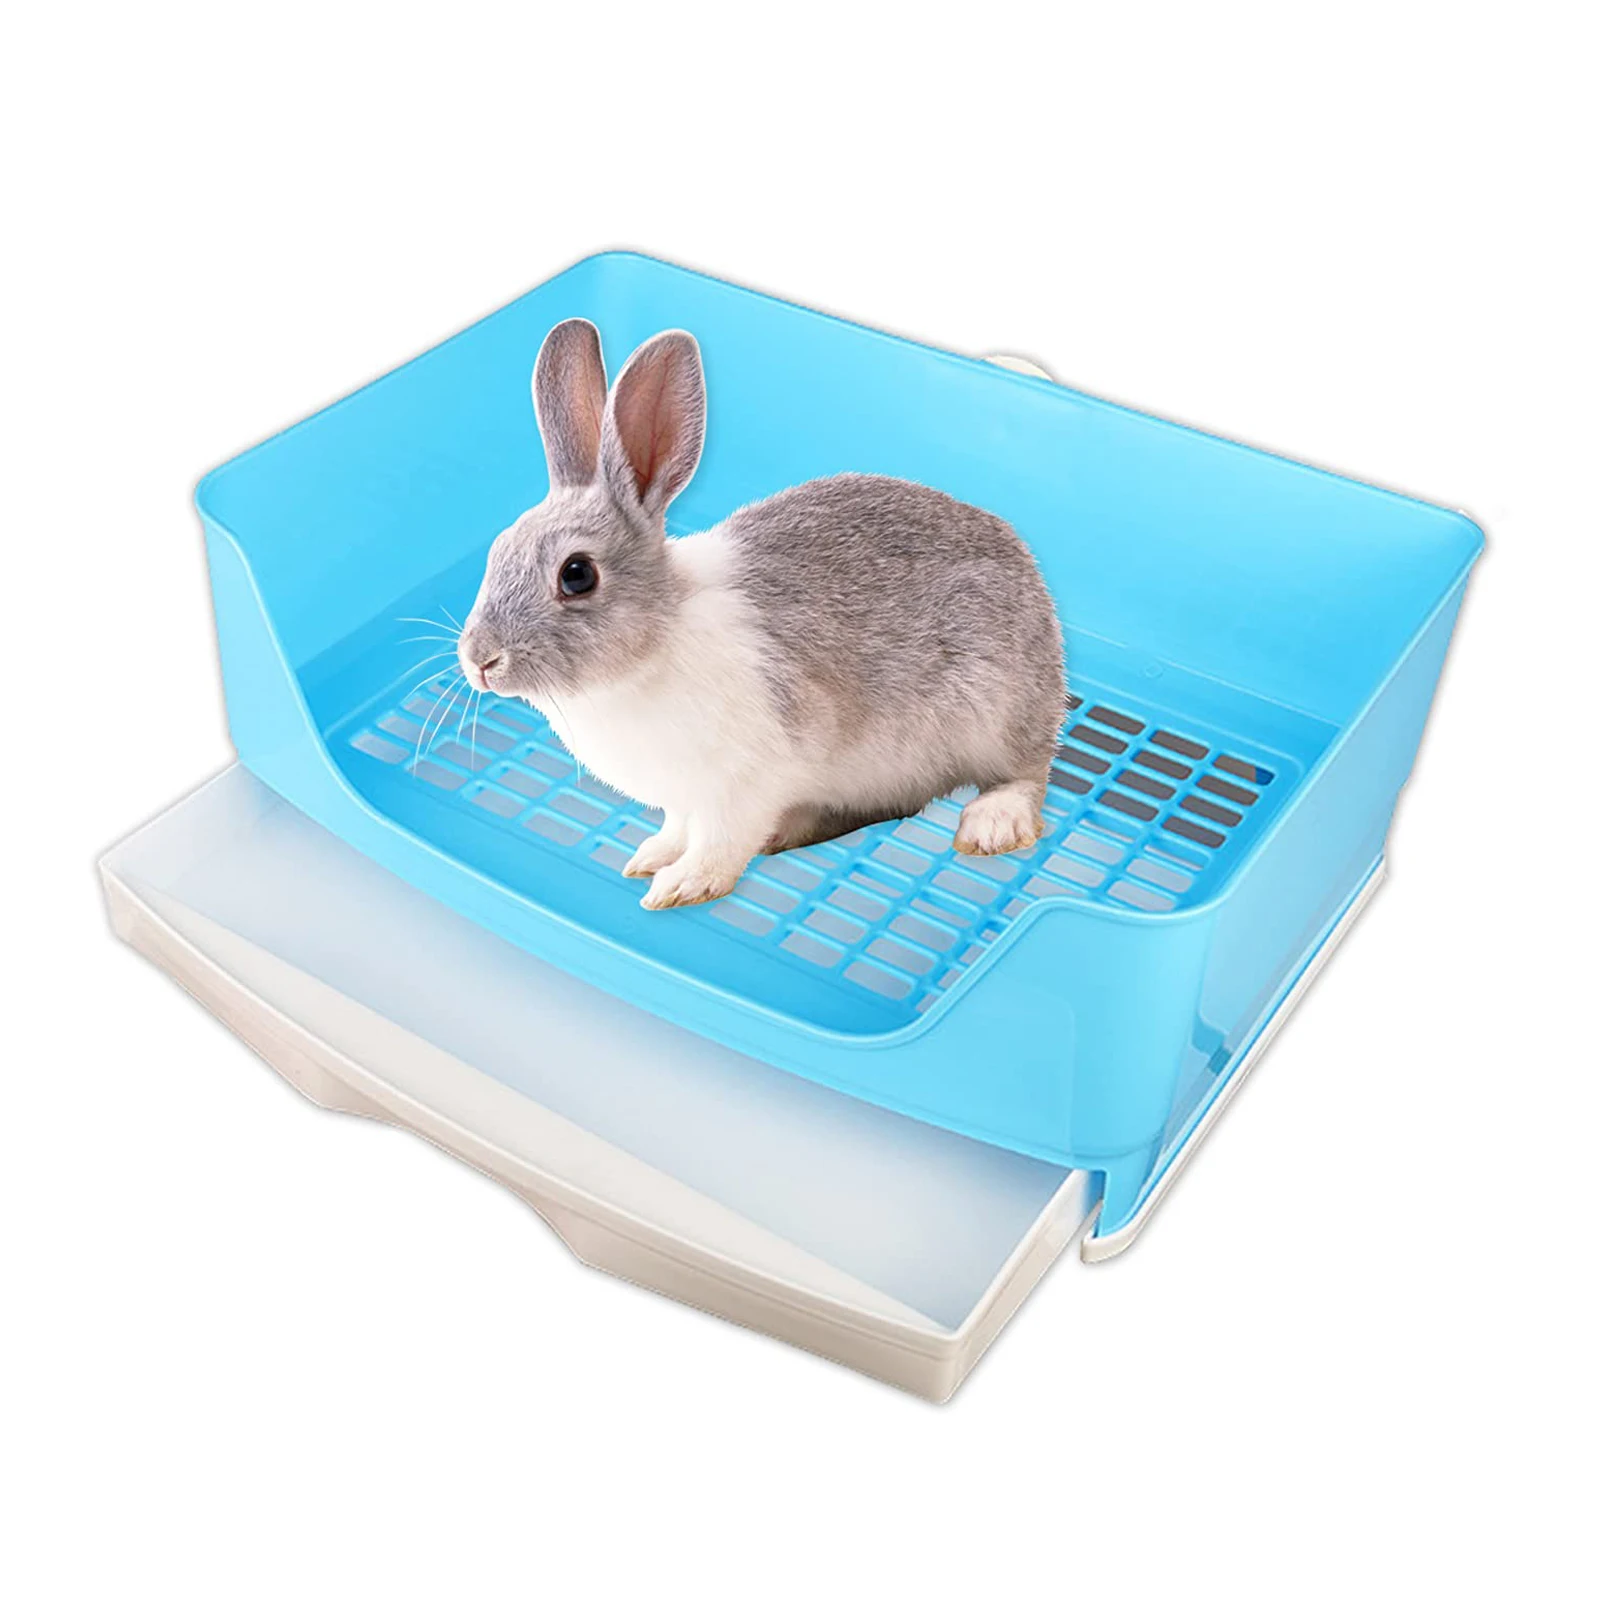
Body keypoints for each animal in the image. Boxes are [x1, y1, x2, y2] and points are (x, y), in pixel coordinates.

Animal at [458, 318, 1066, 910]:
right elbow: (678, 828)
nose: (479, 661)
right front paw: (650, 856)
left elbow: (719, 843)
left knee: (1027, 775)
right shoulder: (685, 798)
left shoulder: (742, 785)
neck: (652, 646)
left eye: (577, 574)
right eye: (498, 549)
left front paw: (682, 886)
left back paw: (990, 825)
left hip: (997, 717)